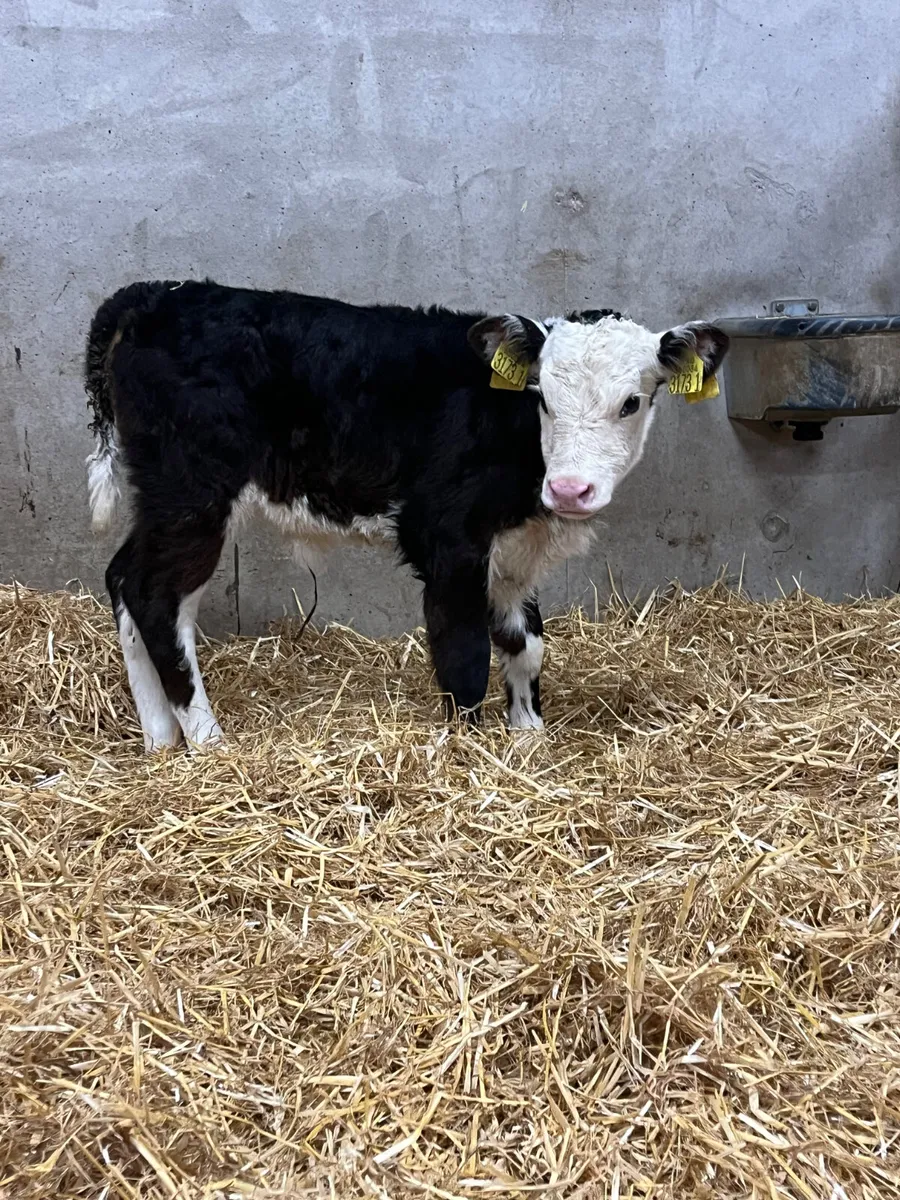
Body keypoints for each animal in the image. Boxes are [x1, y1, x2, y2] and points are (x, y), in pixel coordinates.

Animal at [84, 279, 728, 751]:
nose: (570, 490)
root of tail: (154, 296)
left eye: (632, 402)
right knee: (156, 596)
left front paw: (528, 738)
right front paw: (472, 755)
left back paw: (161, 739)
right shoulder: (445, 539)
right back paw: (208, 739)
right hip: (194, 491)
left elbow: (526, 644)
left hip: (168, 498)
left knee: (127, 579)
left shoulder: (513, 553)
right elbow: (465, 655)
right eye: (542, 396)